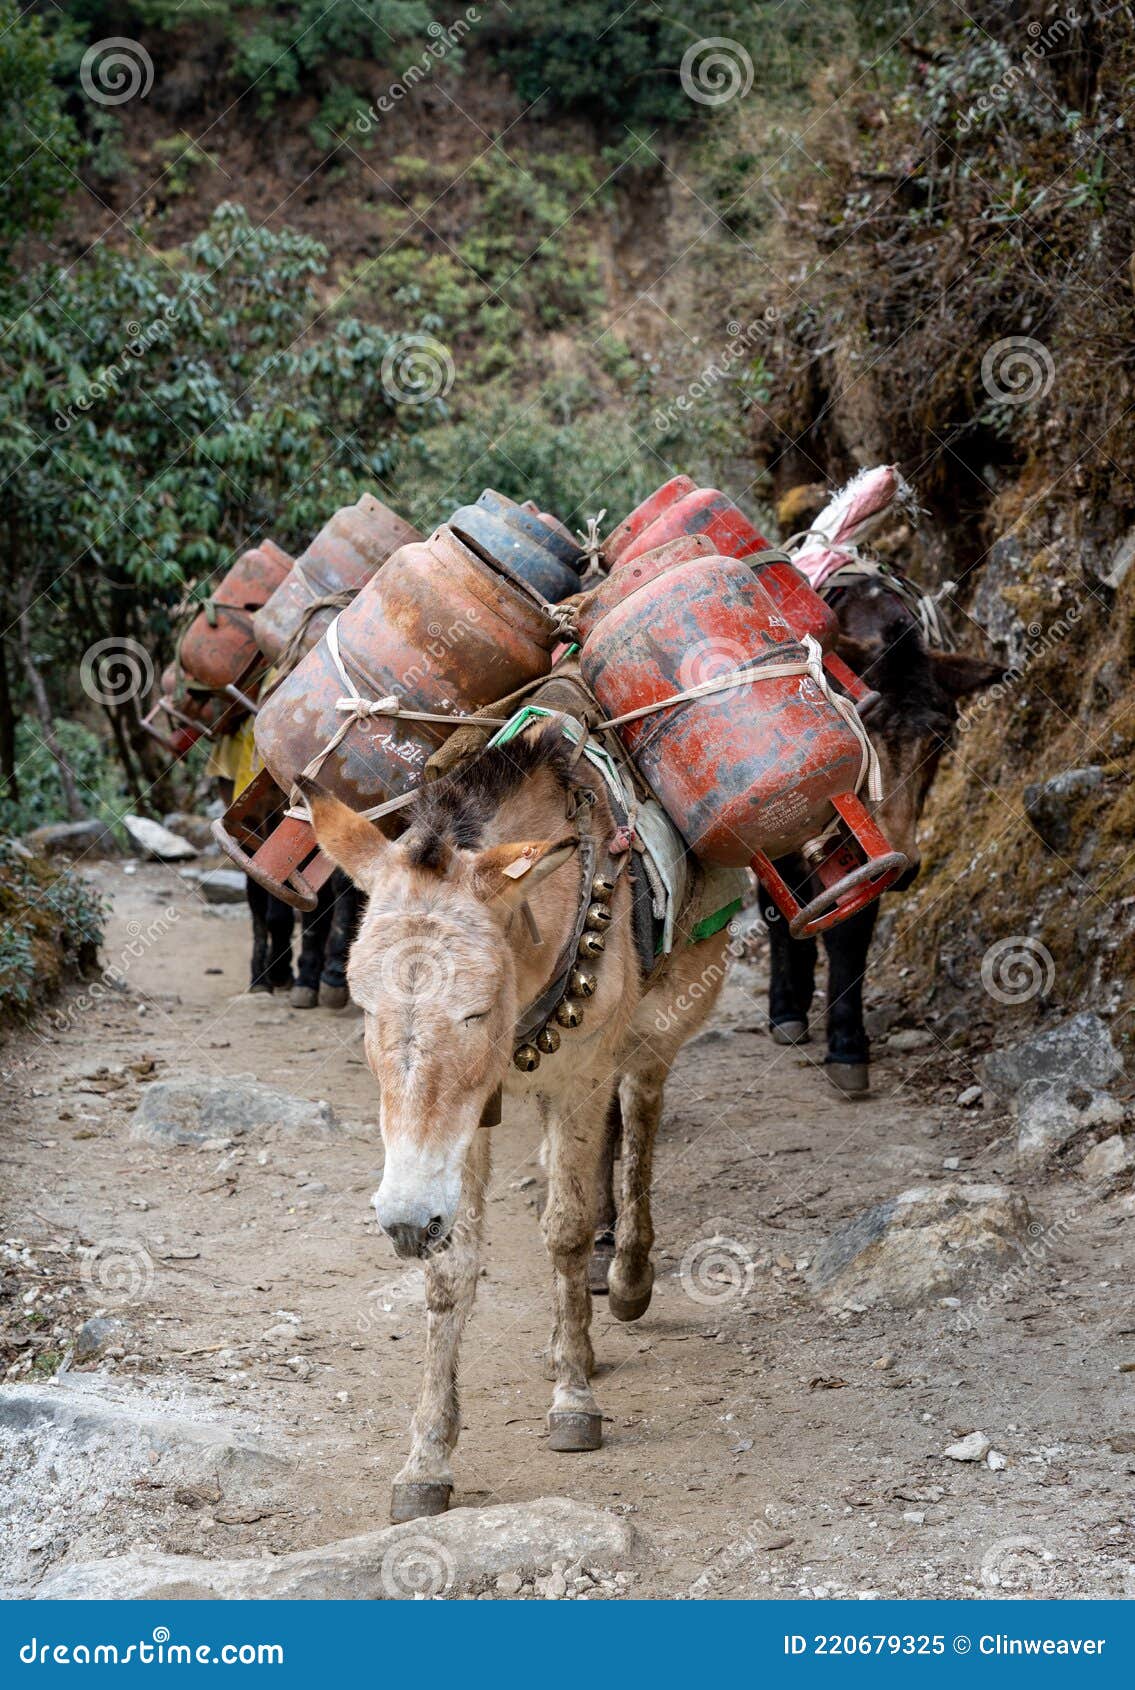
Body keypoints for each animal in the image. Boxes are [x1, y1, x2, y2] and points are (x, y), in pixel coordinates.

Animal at [299, 718, 731, 1523]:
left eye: (473, 1013)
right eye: (366, 1010)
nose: (403, 1221)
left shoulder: (581, 1076)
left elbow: (564, 1228)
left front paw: (573, 1401)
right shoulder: (463, 1127)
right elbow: (451, 1271)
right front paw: (426, 1460)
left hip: (658, 1025)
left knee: (640, 1113)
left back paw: (626, 1275)